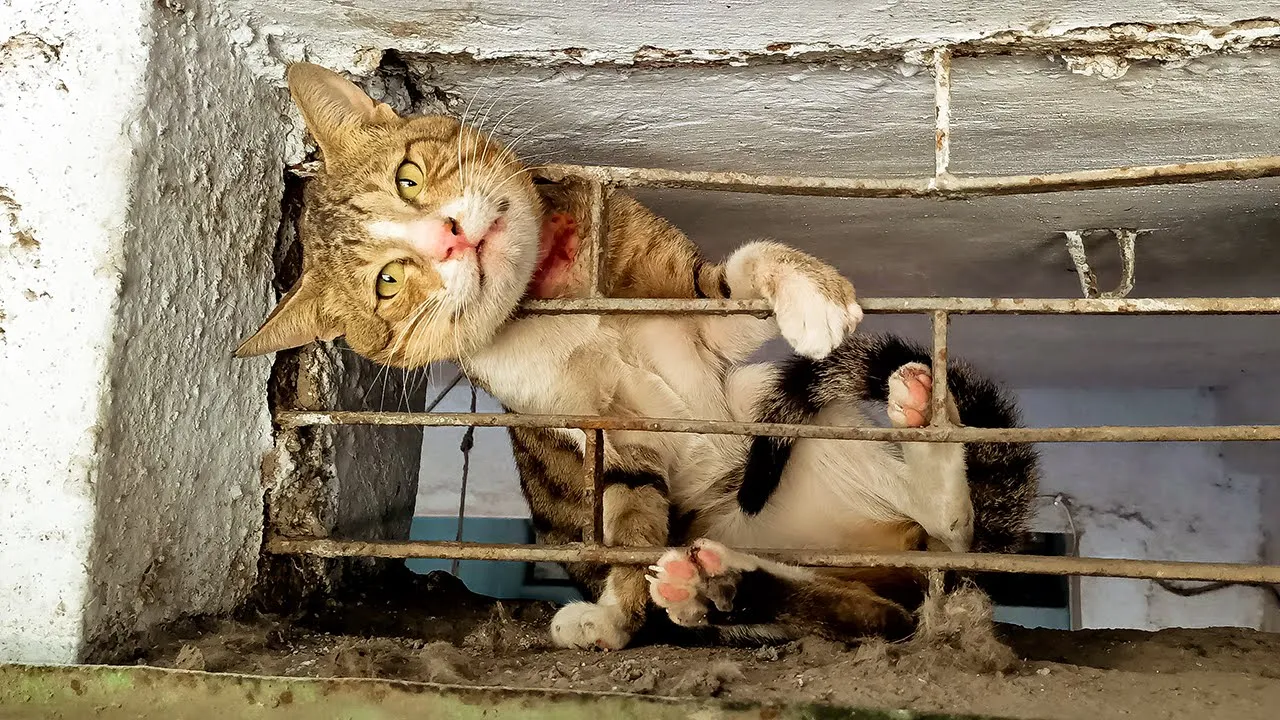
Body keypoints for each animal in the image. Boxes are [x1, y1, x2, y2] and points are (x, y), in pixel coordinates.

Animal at [238, 60, 1039, 645]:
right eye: (389, 282)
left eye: (408, 177)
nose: (450, 239)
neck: (559, 294)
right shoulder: (606, 442)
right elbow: (625, 519)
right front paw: (616, 615)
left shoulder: (701, 310)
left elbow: (744, 270)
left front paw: (810, 294)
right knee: (867, 600)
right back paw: (710, 588)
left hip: (763, 408)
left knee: (941, 545)